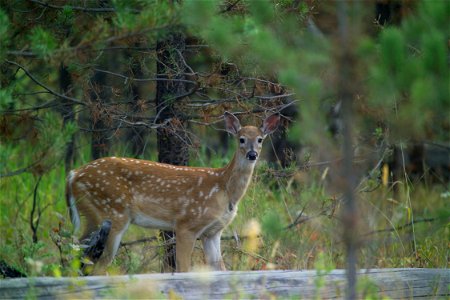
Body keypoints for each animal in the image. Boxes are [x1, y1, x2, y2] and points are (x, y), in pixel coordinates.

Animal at [65, 111, 280, 274]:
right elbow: (183, 269)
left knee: (77, 253)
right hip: (112, 212)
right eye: (241, 139)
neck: (224, 190)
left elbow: (220, 269)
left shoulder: (213, 232)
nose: (252, 154)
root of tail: (73, 175)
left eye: (260, 139)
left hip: (94, 216)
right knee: (98, 264)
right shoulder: (187, 224)